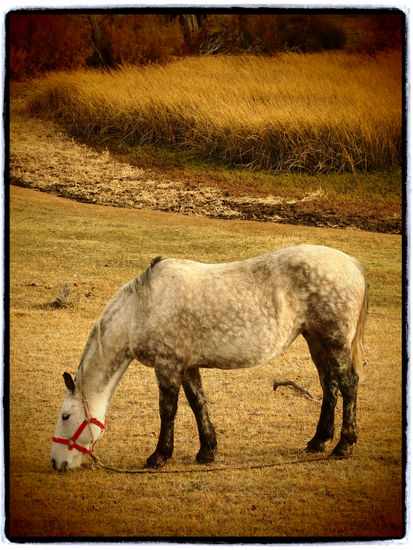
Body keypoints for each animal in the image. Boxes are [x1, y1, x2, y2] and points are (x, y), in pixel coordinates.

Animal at [49, 247, 366, 474]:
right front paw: (207, 451)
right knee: (329, 385)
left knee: (348, 383)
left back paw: (344, 445)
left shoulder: (167, 366)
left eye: (65, 416)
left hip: (334, 341)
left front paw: (159, 456)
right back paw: (318, 441)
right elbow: (198, 403)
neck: (141, 308)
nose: (56, 463)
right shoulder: (188, 366)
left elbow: (168, 410)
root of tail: (353, 263)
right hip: (315, 340)